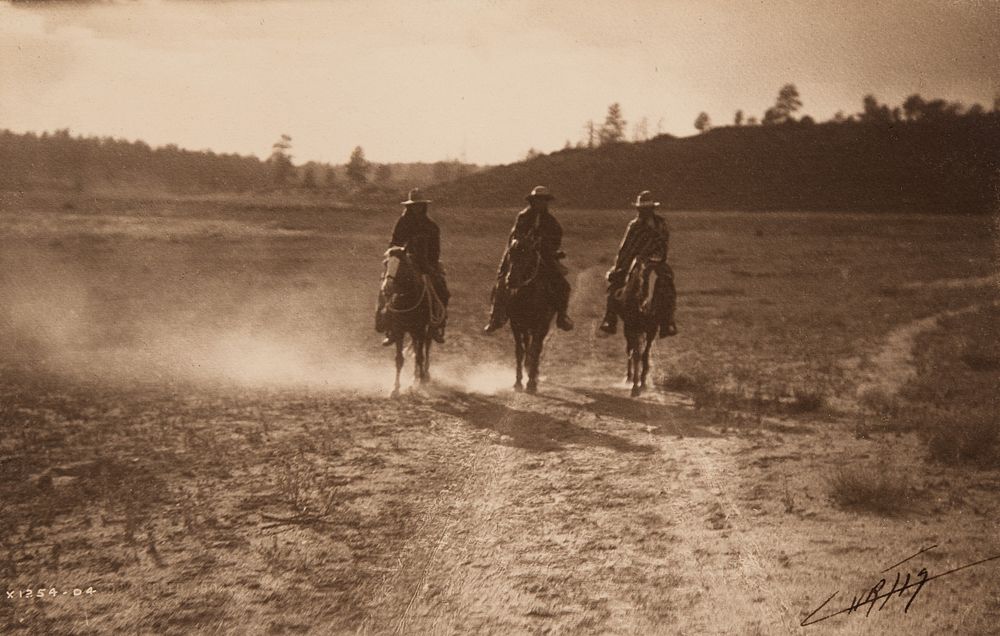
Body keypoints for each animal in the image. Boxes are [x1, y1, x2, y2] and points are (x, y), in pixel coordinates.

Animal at [378, 248, 446, 398]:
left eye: (401, 265)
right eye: (385, 263)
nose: (387, 287)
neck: (406, 299)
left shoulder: (420, 330)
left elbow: (420, 357)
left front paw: (419, 384)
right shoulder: (399, 330)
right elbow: (399, 359)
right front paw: (395, 389)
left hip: (427, 329)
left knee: (426, 348)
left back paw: (424, 376)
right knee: (416, 349)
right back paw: (415, 377)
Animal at [508, 236, 556, 392]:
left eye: (527, 255)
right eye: (510, 254)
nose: (511, 280)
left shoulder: (541, 325)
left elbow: (535, 350)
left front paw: (531, 383)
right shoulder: (516, 324)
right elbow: (519, 351)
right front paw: (518, 382)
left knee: (537, 348)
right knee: (527, 345)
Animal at [612, 258, 668, 398]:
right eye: (644, 280)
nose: (646, 307)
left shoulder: (642, 329)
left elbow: (639, 353)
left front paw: (637, 382)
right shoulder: (641, 328)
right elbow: (640, 354)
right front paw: (638, 385)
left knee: (636, 351)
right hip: (639, 329)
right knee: (637, 352)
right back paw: (635, 381)